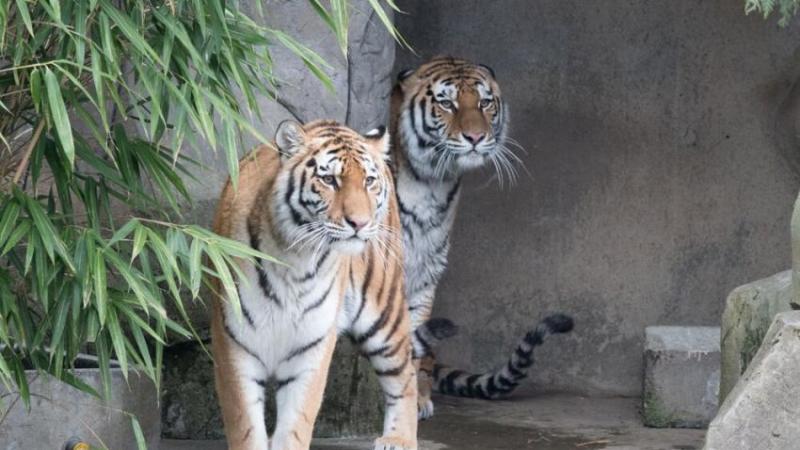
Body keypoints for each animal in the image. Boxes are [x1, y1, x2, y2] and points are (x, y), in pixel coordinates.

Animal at [209, 119, 422, 450]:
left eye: (369, 181)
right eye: (330, 180)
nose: (360, 223)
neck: (295, 259)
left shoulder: (311, 349)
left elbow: (295, 426)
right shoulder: (234, 345)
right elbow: (245, 426)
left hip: (384, 316)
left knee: (406, 374)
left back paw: (398, 439)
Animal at [390, 56, 572, 418]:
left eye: (485, 102)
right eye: (446, 103)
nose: (475, 137)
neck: (429, 184)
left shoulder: (426, 272)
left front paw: (409, 406)